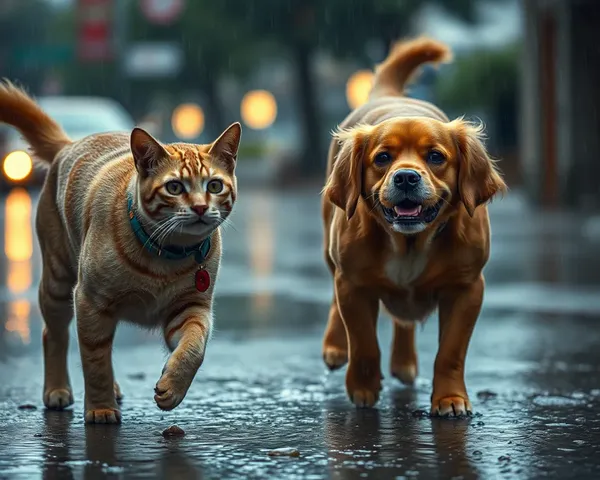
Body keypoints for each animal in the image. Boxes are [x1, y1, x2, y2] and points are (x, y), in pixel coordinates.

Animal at [0, 81, 240, 424]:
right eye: (175, 188)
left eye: (215, 186)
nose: (199, 207)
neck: (166, 256)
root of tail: (69, 144)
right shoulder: (89, 300)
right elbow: (94, 362)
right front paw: (100, 407)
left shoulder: (191, 308)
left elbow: (194, 348)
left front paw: (173, 386)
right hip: (58, 283)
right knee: (56, 336)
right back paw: (58, 389)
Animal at [322, 36, 504, 416]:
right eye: (382, 158)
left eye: (435, 156)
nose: (406, 177)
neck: (409, 243)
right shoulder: (353, 284)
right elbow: (363, 342)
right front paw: (362, 389)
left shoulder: (467, 289)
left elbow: (450, 352)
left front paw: (450, 399)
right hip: (331, 252)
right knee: (335, 299)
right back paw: (335, 347)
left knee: (403, 321)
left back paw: (404, 363)